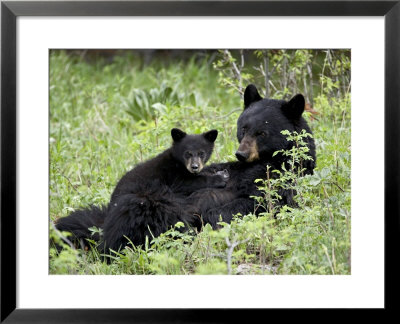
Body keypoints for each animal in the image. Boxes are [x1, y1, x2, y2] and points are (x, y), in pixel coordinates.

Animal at [54, 128, 227, 252]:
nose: (195, 167)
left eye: (202, 153)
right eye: (187, 153)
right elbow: (188, 183)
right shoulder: (172, 176)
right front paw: (220, 177)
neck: (179, 164)